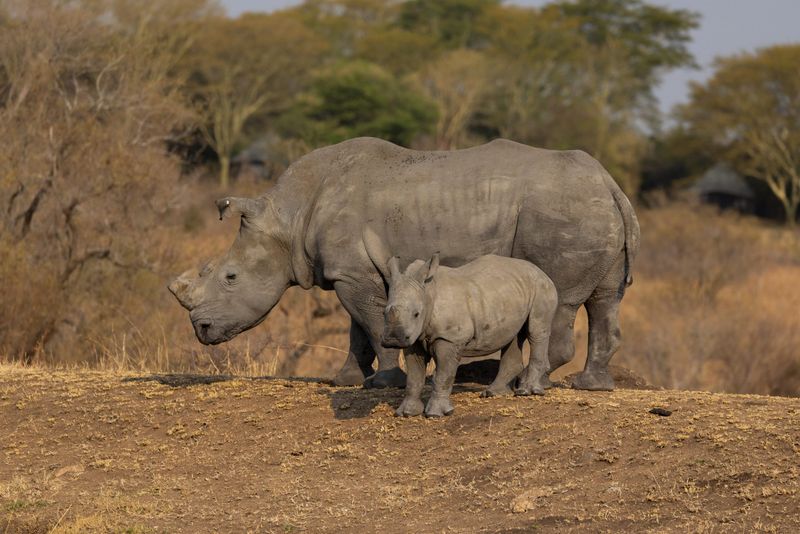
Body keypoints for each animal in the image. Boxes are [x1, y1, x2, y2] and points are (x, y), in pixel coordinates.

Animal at [169, 137, 639, 390]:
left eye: (230, 277)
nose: (201, 329)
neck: (289, 217)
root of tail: (609, 182)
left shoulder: (354, 274)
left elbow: (372, 324)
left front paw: (384, 382)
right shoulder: (352, 271)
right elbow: (357, 330)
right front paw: (347, 380)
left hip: (561, 212)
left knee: (559, 299)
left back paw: (510, 380)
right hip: (590, 209)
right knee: (605, 299)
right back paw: (590, 385)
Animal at [374, 251, 558, 417]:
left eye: (416, 314)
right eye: (383, 313)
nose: (392, 339)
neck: (428, 293)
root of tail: (540, 271)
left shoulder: (450, 338)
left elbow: (443, 375)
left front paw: (436, 414)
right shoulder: (413, 339)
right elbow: (414, 376)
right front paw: (406, 413)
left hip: (541, 287)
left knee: (536, 331)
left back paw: (527, 392)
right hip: (511, 292)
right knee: (512, 336)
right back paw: (493, 393)